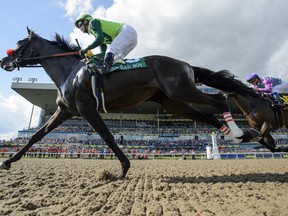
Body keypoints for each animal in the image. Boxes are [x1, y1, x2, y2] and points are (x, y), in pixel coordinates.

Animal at [1, 28, 254, 177]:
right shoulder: (65, 110)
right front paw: (9, 161)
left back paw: (238, 132)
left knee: (219, 100)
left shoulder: (86, 108)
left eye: (20, 43)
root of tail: (186, 64)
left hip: (182, 90)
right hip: (174, 102)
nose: (4, 61)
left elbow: (107, 136)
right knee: (208, 115)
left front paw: (123, 169)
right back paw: (237, 135)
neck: (70, 72)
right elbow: (36, 135)